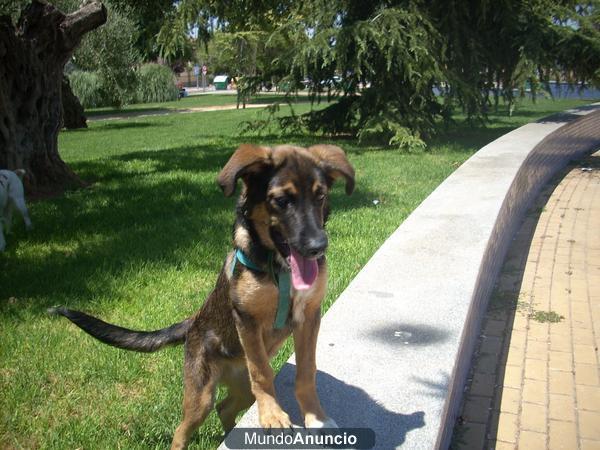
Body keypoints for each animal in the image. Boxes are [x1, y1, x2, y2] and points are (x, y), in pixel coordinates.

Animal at [51, 144, 354, 450]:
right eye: (281, 200)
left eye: (320, 196)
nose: (318, 247)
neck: (279, 269)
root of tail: (193, 321)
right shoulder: (247, 319)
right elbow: (262, 372)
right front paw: (272, 416)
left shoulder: (309, 316)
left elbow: (306, 371)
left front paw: (316, 418)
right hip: (200, 395)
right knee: (183, 429)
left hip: (242, 390)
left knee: (225, 407)